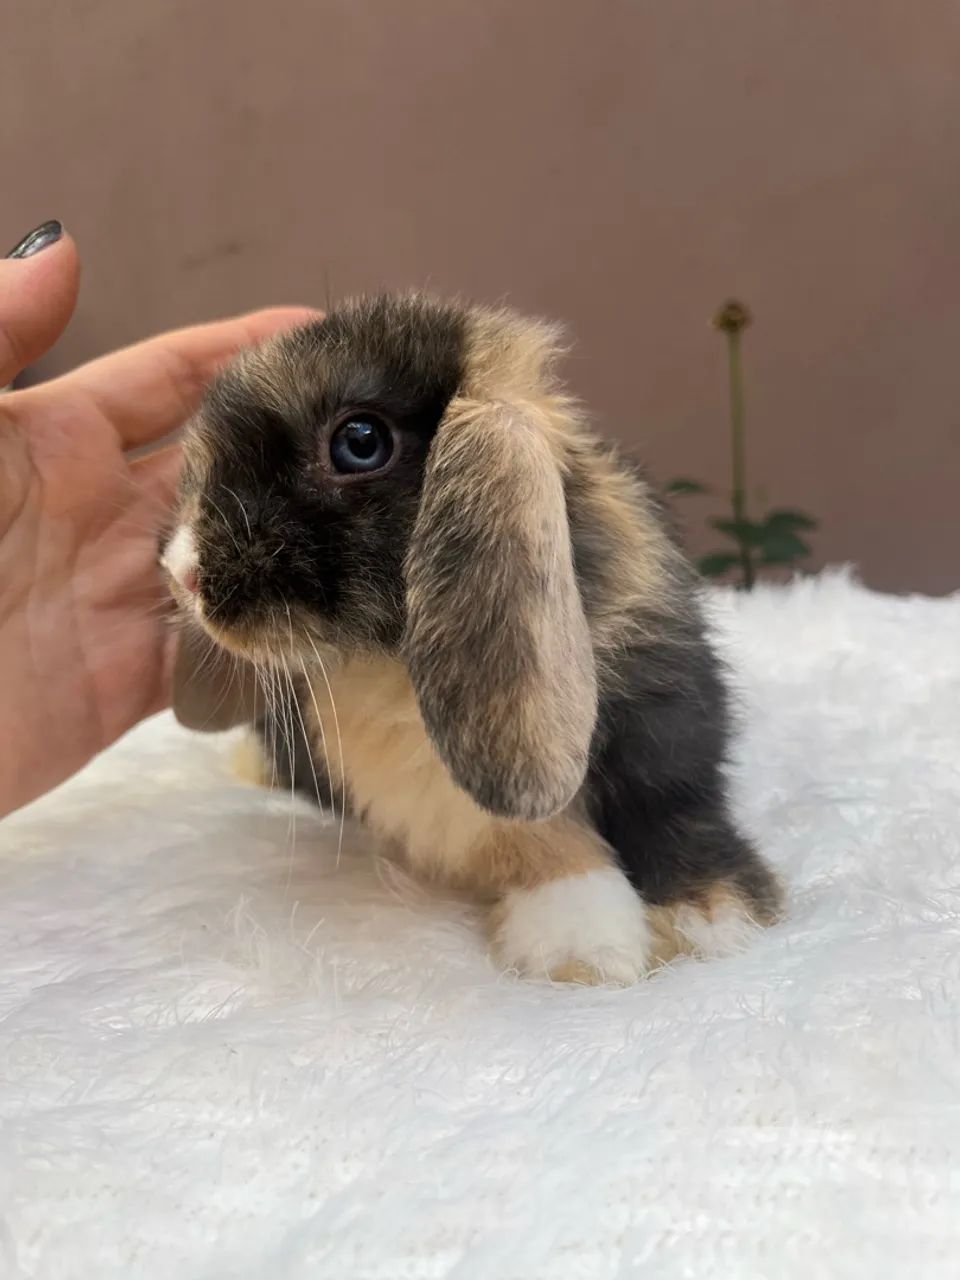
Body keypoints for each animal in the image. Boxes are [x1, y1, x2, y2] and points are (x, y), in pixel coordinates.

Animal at [161, 293, 782, 985]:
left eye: (360, 441)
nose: (182, 573)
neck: (390, 663)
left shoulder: (668, 732)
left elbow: (678, 816)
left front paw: (714, 923)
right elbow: (544, 840)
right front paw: (584, 948)